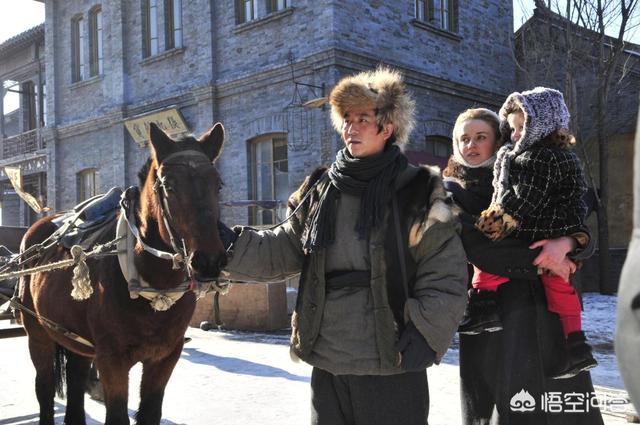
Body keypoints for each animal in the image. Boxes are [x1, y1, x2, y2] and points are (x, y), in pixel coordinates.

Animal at [19, 121, 228, 422]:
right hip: (38, 334)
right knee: (45, 389)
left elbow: (150, 412)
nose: (209, 260)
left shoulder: (165, 357)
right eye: (169, 185)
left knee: (76, 382)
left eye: (217, 184)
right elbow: (117, 415)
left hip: (76, 339)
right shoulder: (112, 360)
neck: (151, 282)